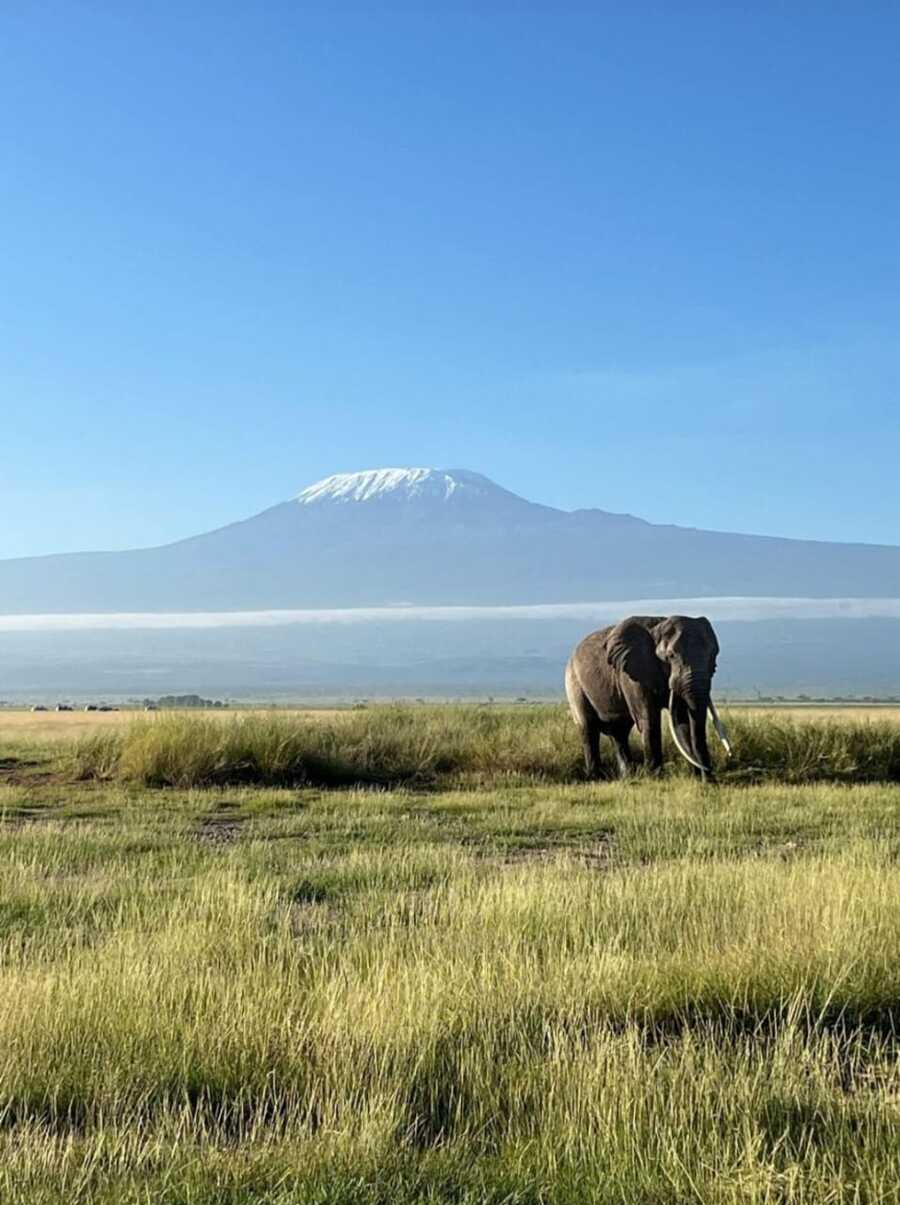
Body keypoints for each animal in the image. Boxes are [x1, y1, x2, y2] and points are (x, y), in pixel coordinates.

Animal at [565, 615, 731, 782]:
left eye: (714, 656)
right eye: (671, 656)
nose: (709, 777)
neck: (659, 625)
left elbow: (681, 719)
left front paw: (695, 777)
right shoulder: (632, 674)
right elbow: (649, 719)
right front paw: (655, 777)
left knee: (619, 732)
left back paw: (628, 776)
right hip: (574, 683)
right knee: (588, 728)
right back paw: (596, 778)